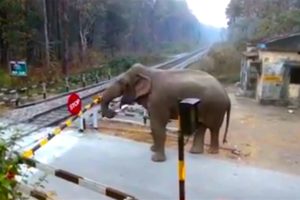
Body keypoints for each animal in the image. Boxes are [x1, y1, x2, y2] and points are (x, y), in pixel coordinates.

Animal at [99, 63, 231, 162]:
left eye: (122, 82)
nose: (112, 112)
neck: (148, 72)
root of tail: (226, 94)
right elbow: (154, 125)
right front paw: (153, 149)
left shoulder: (159, 100)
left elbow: (158, 125)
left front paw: (156, 159)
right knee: (201, 127)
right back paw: (196, 152)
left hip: (215, 107)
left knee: (213, 128)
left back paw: (212, 152)